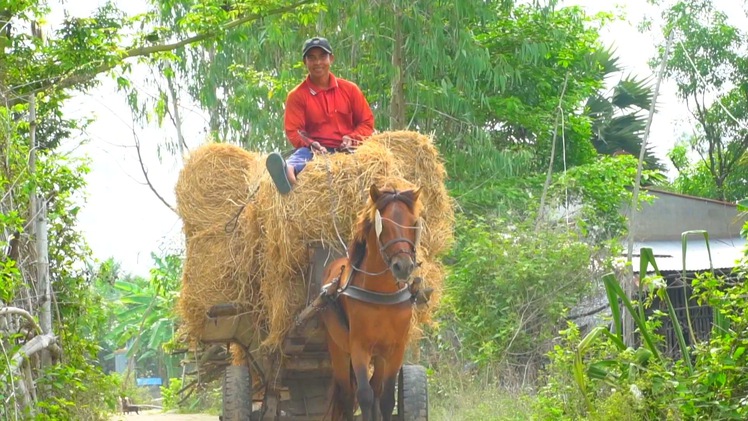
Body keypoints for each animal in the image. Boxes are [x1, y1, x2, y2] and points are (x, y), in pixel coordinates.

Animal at [318, 184, 424, 420]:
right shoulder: (359, 348)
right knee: (348, 395)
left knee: (376, 389)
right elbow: (364, 395)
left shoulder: (395, 349)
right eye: (383, 224)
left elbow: (386, 398)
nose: (403, 266)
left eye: (413, 223)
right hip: (338, 350)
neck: (382, 297)